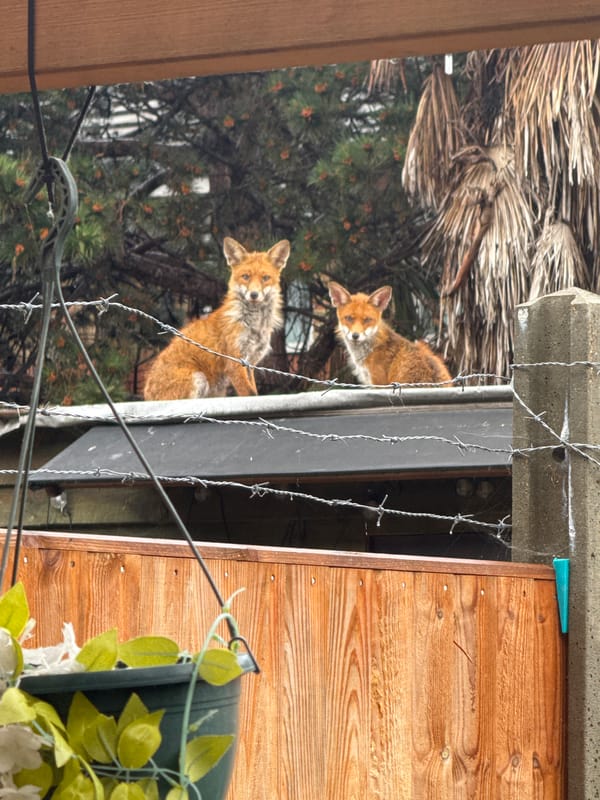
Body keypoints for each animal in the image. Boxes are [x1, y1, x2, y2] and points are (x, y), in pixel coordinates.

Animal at [143, 237, 290, 400]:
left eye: (265, 278)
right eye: (246, 277)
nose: (254, 295)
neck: (254, 325)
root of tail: (146, 394)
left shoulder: (250, 364)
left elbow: (255, 392)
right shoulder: (235, 362)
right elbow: (250, 394)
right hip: (199, 378)